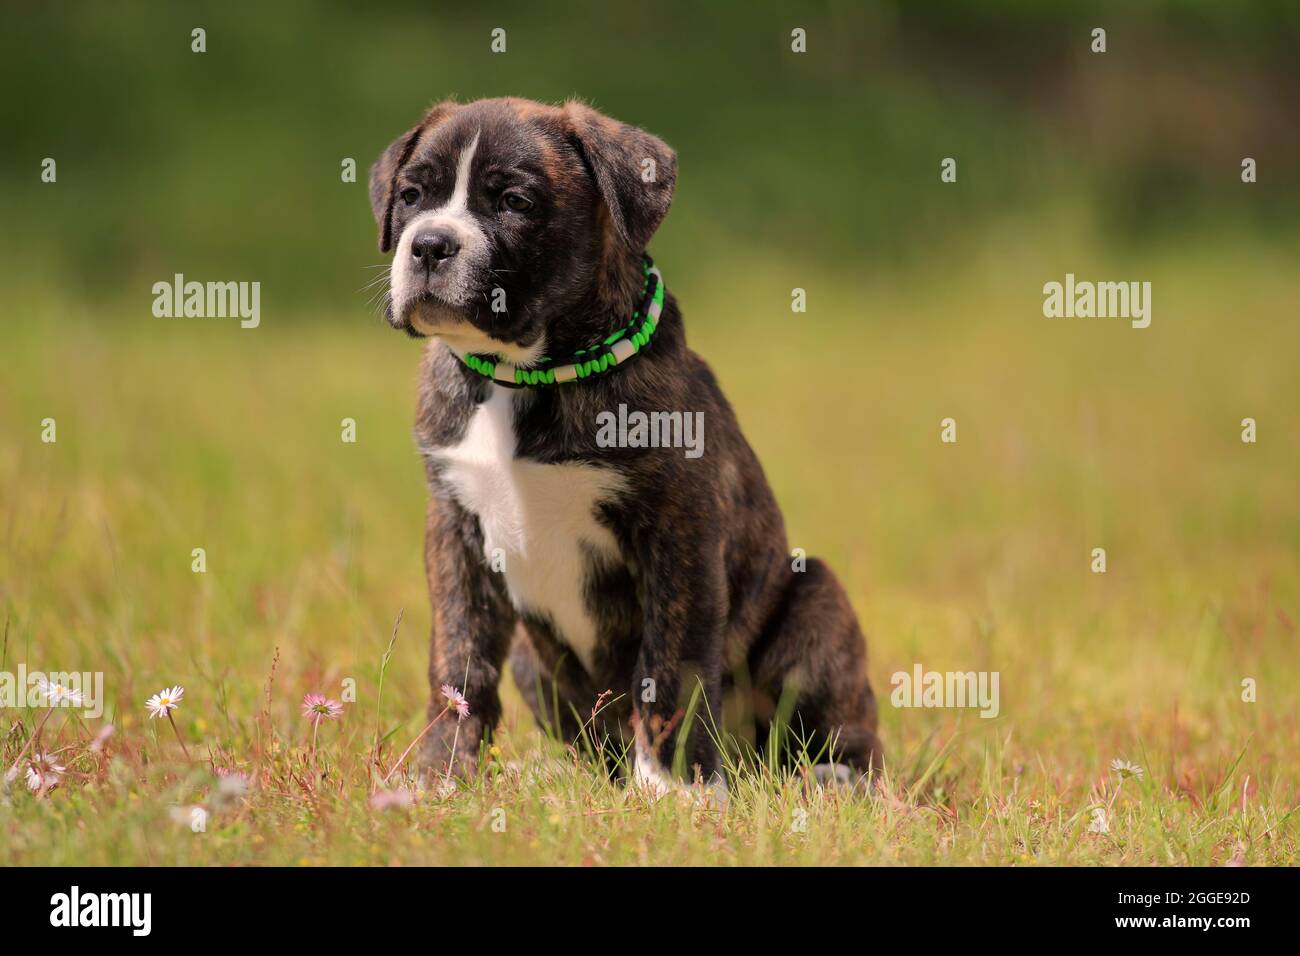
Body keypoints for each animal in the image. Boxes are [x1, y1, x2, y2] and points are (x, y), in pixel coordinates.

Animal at [369, 97, 883, 796]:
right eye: (411, 195)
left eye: (515, 202)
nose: (429, 243)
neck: (525, 376)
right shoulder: (455, 529)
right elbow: (458, 660)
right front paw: (442, 778)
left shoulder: (677, 529)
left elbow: (669, 664)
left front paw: (675, 787)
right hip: (533, 659)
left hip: (815, 601)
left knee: (834, 733)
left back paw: (834, 778)